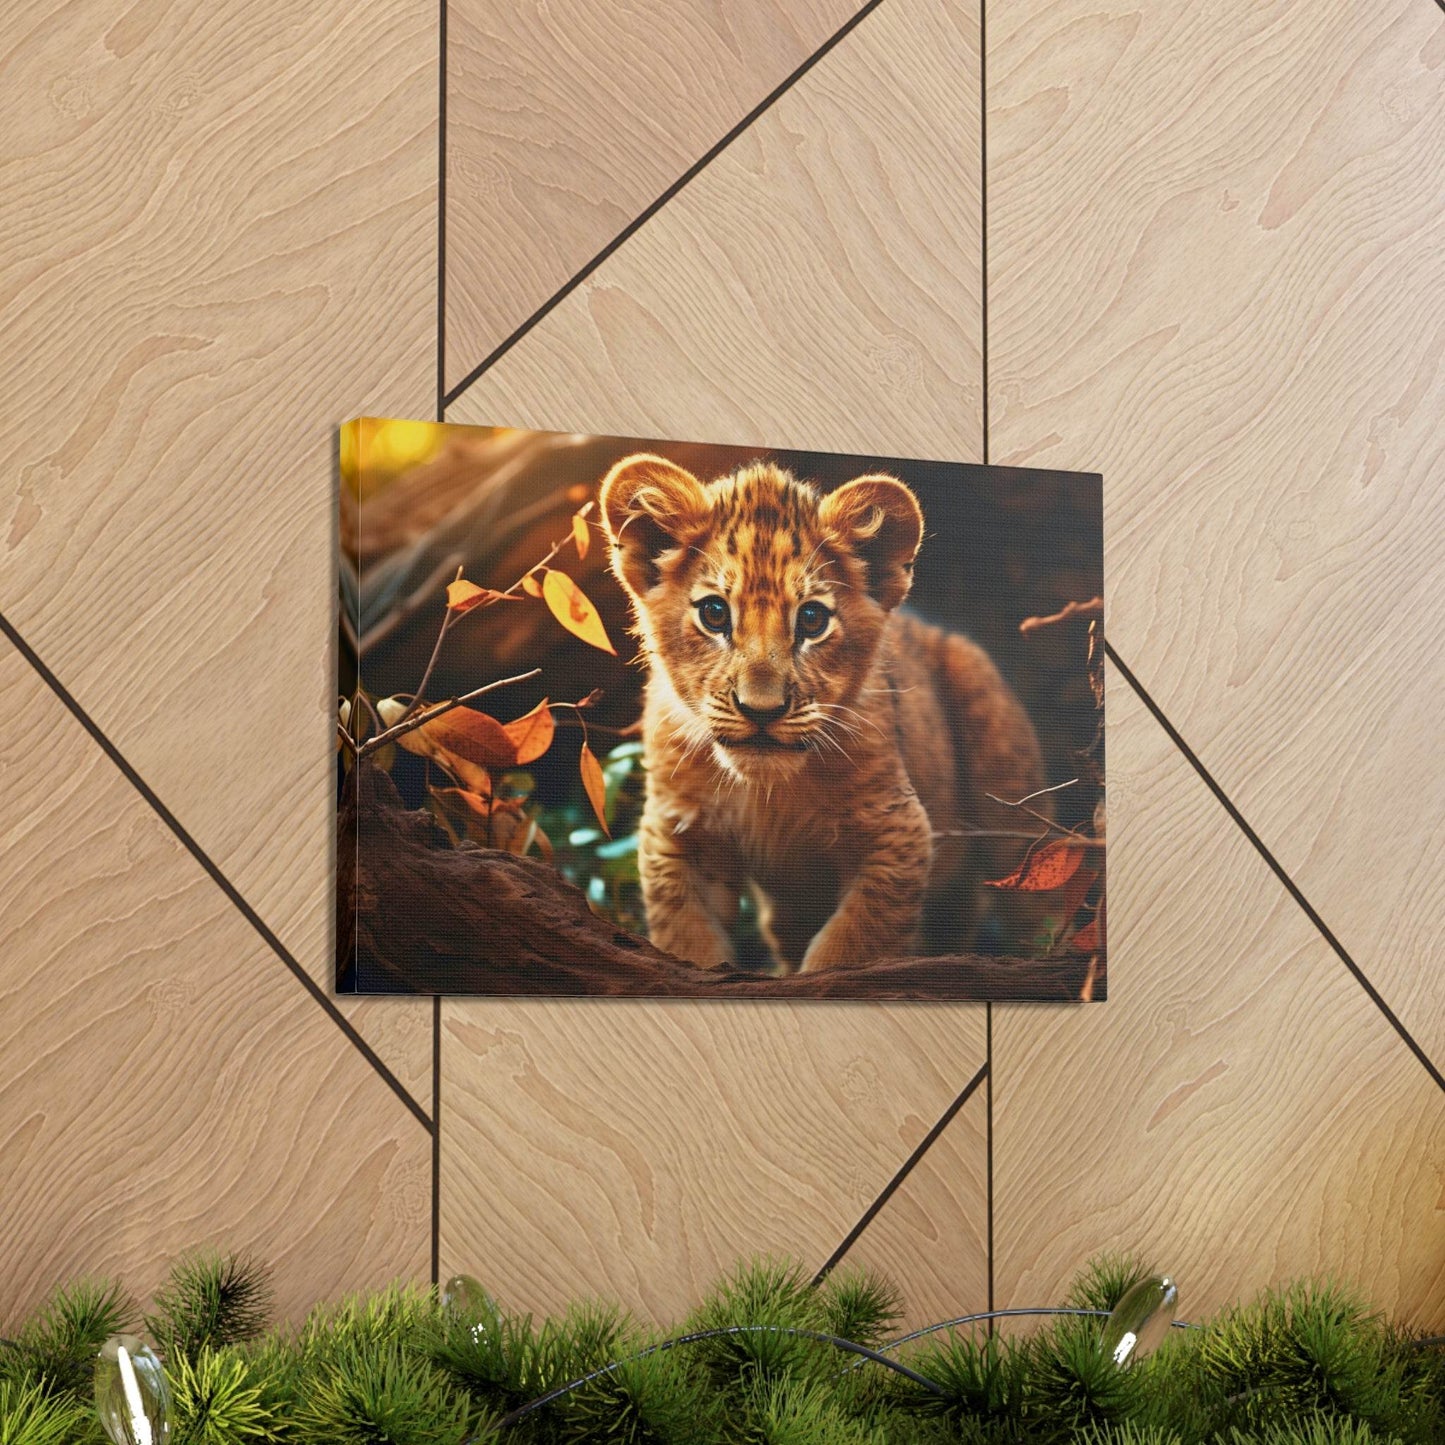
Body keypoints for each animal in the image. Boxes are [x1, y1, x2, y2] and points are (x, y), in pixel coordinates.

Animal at [598, 453, 1049, 974]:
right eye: (714, 614)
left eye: (812, 620)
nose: (762, 710)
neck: (769, 794)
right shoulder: (677, 836)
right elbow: (689, 942)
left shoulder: (897, 830)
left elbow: (849, 946)